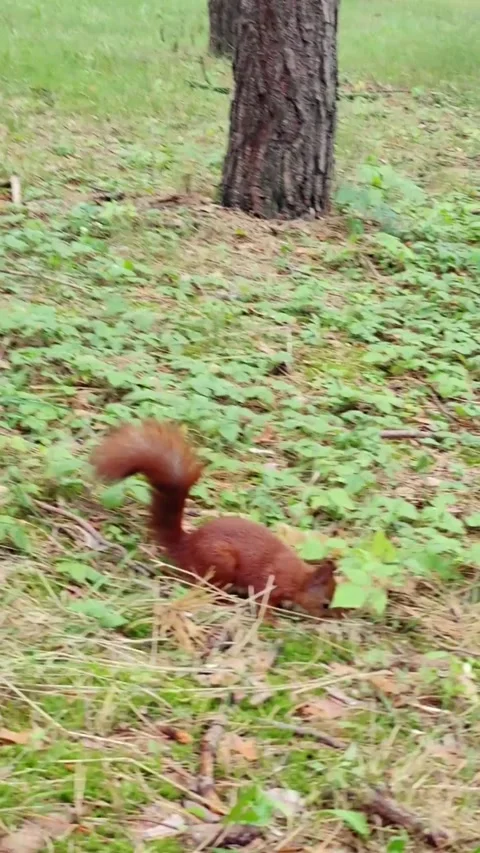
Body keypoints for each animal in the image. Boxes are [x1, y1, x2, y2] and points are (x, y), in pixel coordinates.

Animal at [92, 420, 339, 617]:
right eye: (325, 604)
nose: (332, 618)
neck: (298, 577)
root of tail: (186, 547)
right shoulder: (269, 581)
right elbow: (262, 602)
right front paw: (270, 620)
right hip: (220, 563)